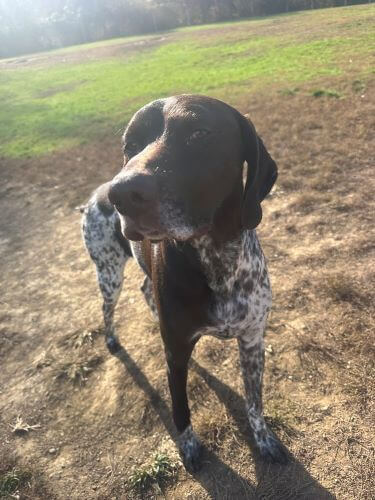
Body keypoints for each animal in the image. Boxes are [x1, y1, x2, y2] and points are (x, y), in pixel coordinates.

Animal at [81, 94, 288, 472]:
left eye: (198, 133)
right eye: (129, 146)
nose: (122, 193)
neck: (217, 259)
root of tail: (96, 193)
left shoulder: (252, 341)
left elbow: (254, 402)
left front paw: (264, 439)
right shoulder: (175, 354)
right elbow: (180, 410)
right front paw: (189, 447)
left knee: (145, 290)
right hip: (109, 273)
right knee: (107, 308)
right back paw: (112, 339)